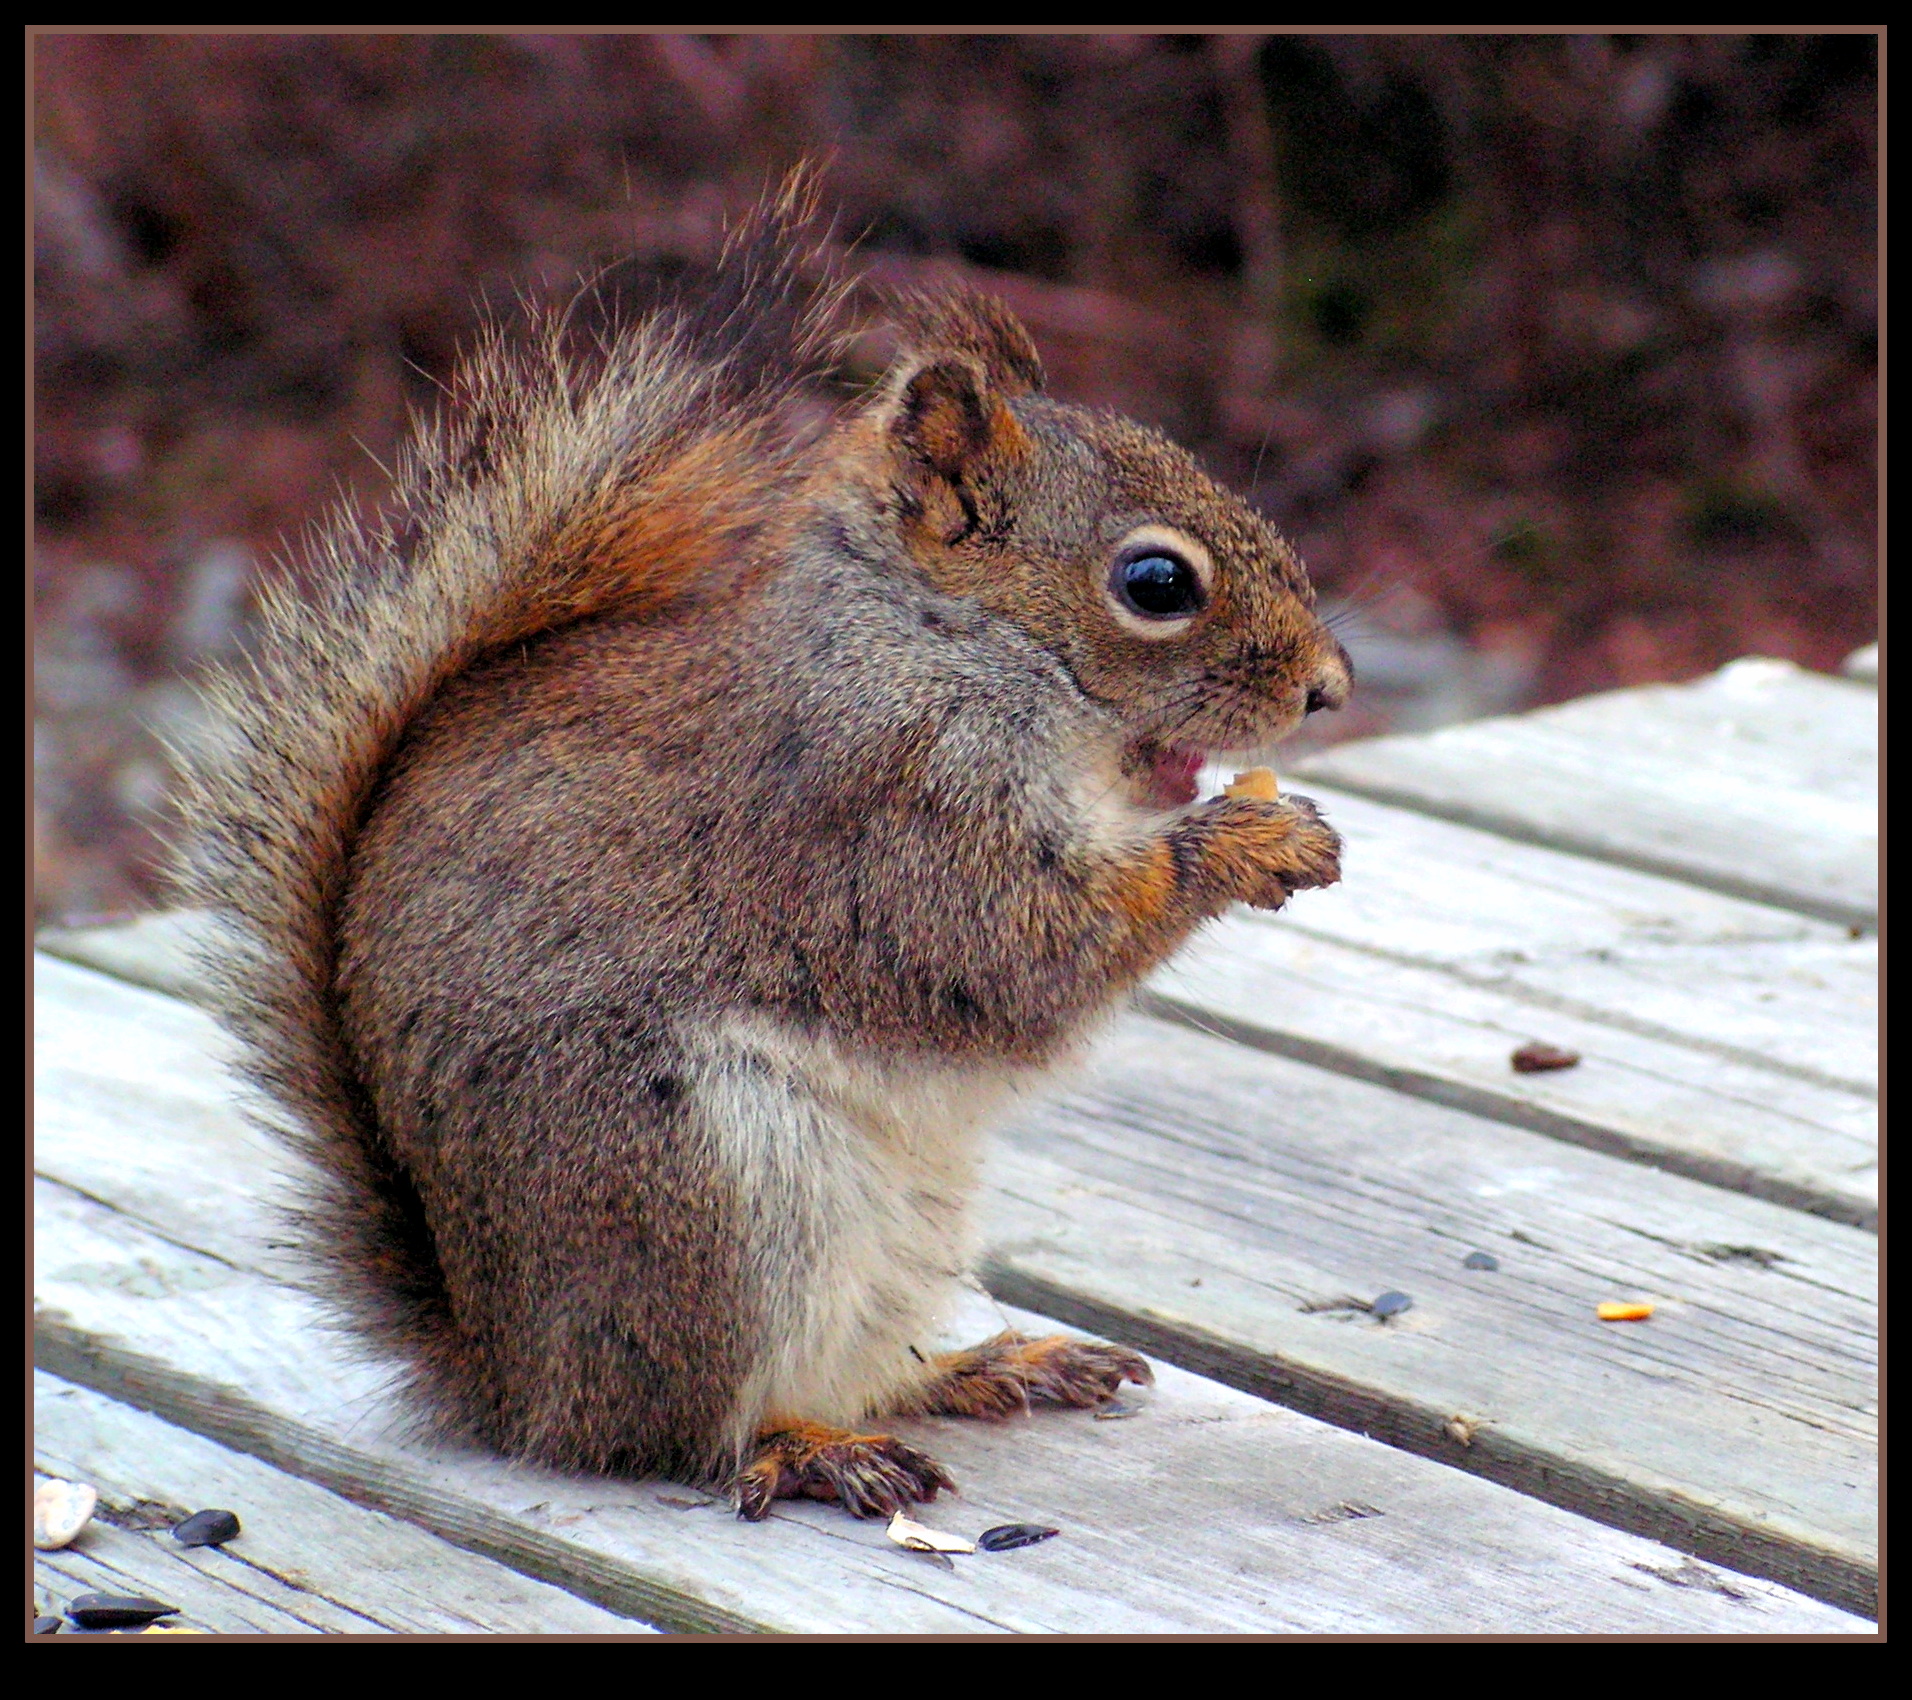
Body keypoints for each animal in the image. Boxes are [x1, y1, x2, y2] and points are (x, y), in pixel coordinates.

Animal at [175, 178, 1346, 1522]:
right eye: (1155, 582)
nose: (1329, 686)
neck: (941, 639)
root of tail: (517, 1378)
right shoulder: (884, 813)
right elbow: (1017, 951)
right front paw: (1248, 837)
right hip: (708, 1188)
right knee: (687, 1432)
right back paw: (807, 1447)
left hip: (900, 1223)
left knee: (858, 1363)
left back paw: (982, 1365)